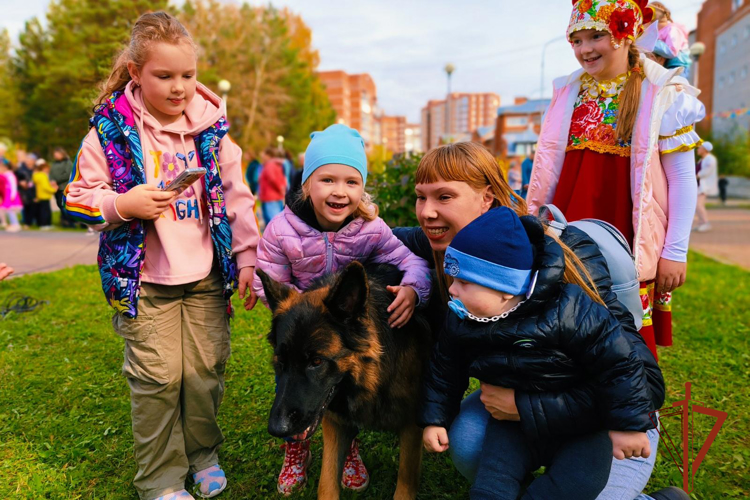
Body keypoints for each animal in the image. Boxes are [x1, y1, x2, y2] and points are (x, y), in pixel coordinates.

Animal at [258, 262, 434, 500]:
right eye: (280, 361)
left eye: (316, 361)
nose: (277, 429)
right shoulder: (335, 421)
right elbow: (326, 483)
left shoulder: (411, 426)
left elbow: (405, 483)